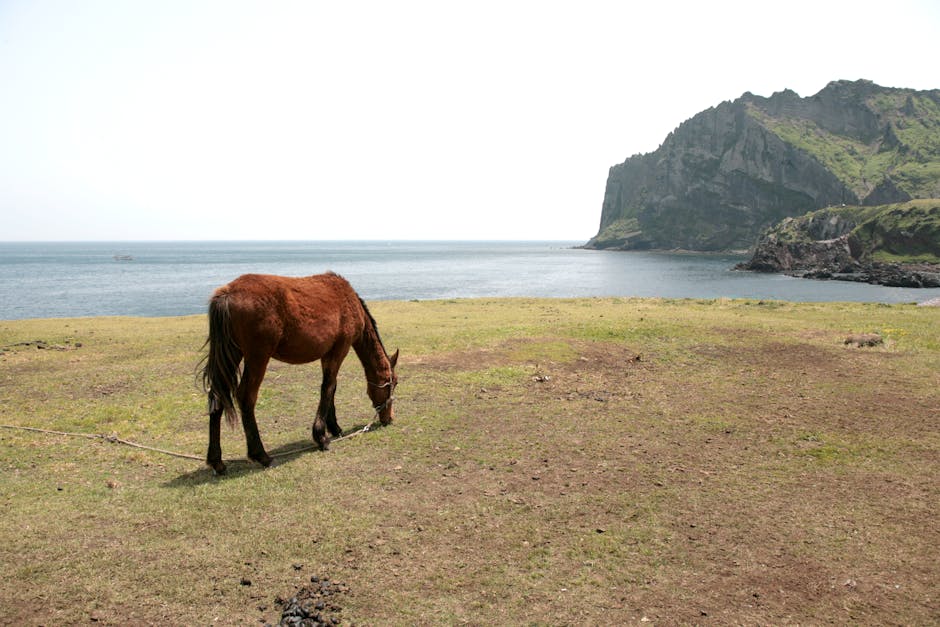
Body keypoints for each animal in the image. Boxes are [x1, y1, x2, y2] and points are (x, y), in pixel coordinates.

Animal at [200, 272, 398, 474]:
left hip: (231, 353)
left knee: (217, 395)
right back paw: (261, 455)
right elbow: (328, 387)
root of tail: (227, 294)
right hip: (257, 357)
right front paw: (321, 436)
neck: (349, 301)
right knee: (246, 397)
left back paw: (217, 461)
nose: (389, 418)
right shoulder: (339, 349)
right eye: (394, 383)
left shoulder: (327, 353)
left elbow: (332, 387)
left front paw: (334, 427)